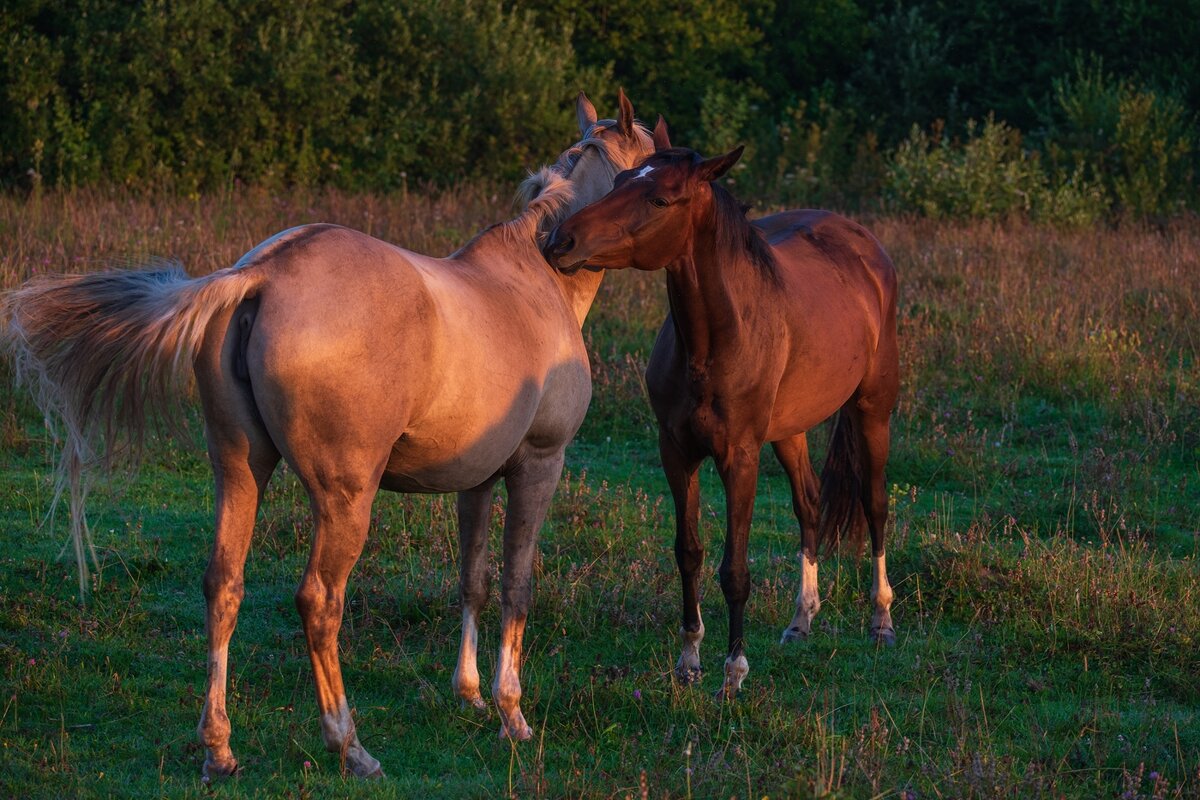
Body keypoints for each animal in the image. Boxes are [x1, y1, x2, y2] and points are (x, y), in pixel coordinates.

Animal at [2, 90, 657, 777]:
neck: (536, 281)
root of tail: (260, 275)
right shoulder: (538, 464)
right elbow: (516, 585)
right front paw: (511, 713)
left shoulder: (475, 480)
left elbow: (472, 580)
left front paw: (470, 695)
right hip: (345, 500)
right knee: (319, 601)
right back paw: (350, 745)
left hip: (240, 470)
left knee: (222, 585)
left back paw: (219, 748)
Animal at [544, 123, 902, 700]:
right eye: (620, 179)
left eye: (659, 198)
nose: (561, 241)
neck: (716, 339)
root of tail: (865, 246)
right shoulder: (677, 451)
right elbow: (687, 551)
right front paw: (689, 659)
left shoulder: (739, 458)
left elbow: (735, 569)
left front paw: (733, 672)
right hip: (790, 430)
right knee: (809, 504)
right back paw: (801, 620)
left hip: (873, 412)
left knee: (875, 506)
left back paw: (881, 622)